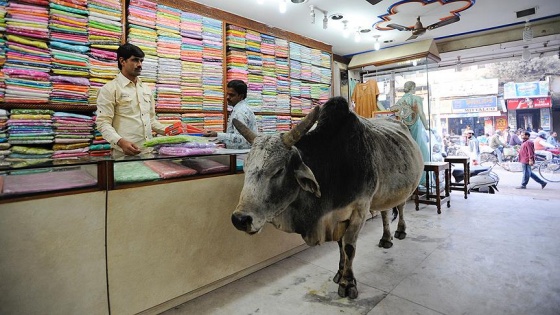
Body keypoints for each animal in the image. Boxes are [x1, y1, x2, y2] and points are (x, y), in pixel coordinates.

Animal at [231, 97, 420, 300]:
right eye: (245, 167)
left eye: (279, 170)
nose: (240, 219)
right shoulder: (336, 216)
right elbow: (339, 245)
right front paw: (339, 273)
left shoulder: (359, 210)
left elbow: (349, 246)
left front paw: (348, 283)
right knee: (385, 212)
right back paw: (386, 238)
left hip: (404, 190)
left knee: (400, 207)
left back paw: (400, 231)